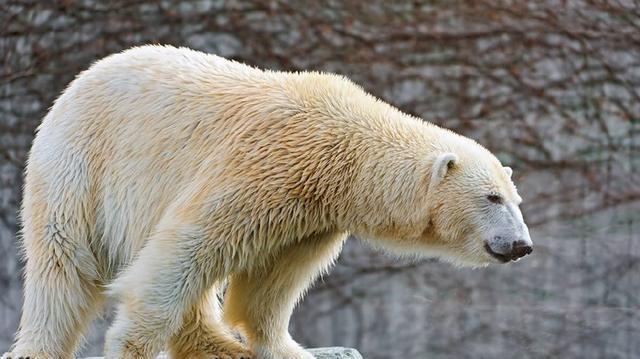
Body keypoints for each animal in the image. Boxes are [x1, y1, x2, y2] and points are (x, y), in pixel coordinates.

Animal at [7, 45, 532, 359]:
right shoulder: (261, 165)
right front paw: (131, 346)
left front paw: (290, 348)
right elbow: (185, 249)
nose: (522, 245)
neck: (342, 146)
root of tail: (76, 84)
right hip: (82, 169)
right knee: (65, 268)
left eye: (516, 199)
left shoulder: (310, 212)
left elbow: (271, 282)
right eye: (491, 197)